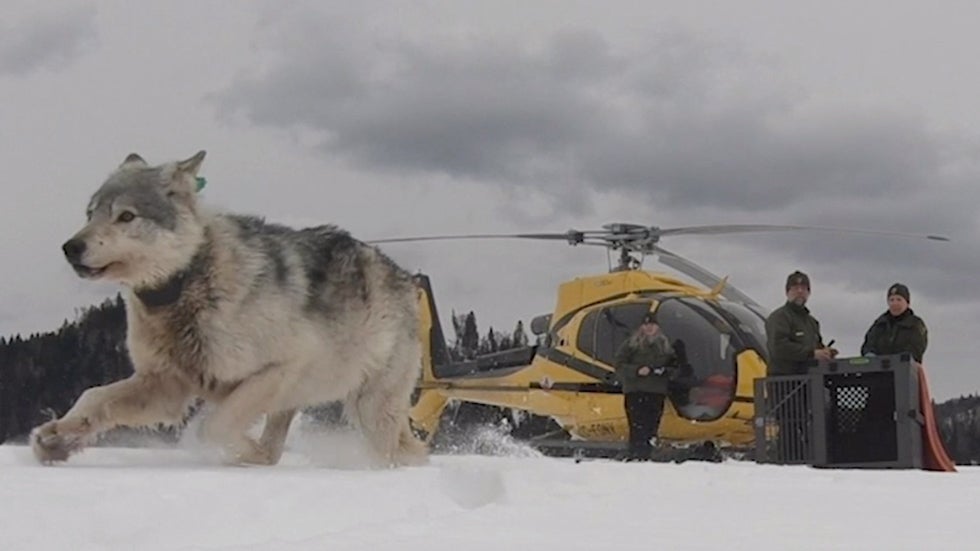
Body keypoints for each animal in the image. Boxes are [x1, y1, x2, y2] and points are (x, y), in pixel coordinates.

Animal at [31, 150, 429, 467]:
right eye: (89, 214)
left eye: (126, 216)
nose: (70, 247)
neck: (187, 282)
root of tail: (404, 275)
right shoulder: (164, 384)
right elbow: (93, 396)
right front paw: (57, 438)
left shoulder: (282, 368)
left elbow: (212, 427)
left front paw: (245, 454)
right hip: (294, 404)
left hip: (368, 408)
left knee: (395, 453)